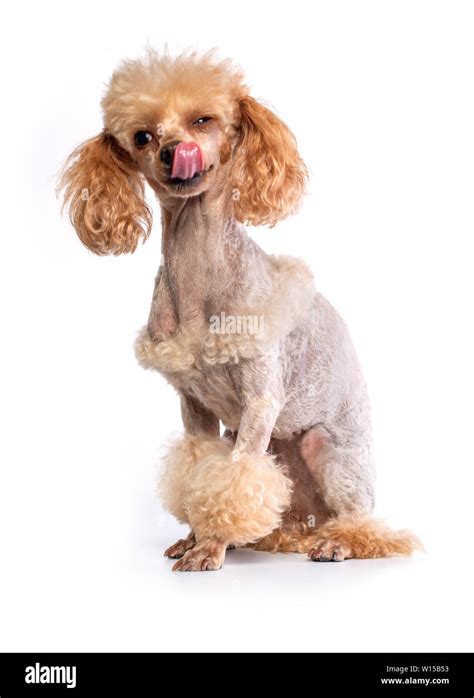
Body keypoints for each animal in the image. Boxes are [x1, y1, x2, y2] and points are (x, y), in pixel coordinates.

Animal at [58, 50, 418, 572]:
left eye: (203, 120)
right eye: (143, 136)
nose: (175, 150)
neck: (198, 275)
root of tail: (305, 523)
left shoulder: (261, 399)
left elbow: (236, 478)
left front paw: (210, 546)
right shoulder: (196, 409)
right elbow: (200, 470)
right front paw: (195, 536)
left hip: (328, 451)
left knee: (368, 525)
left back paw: (339, 542)